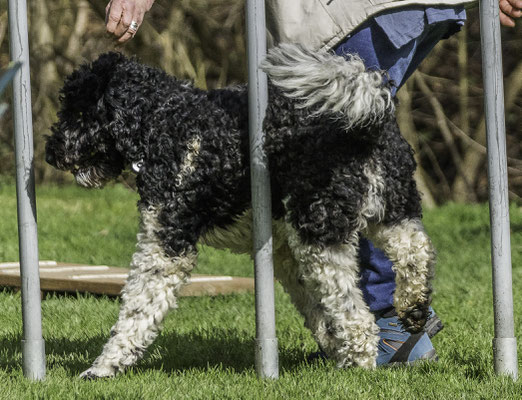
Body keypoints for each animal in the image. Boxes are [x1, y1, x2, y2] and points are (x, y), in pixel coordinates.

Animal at [45, 44, 434, 378]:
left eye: (79, 112)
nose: (51, 152)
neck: (165, 124)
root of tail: (368, 122)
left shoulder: (166, 242)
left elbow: (137, 308)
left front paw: (104, 367)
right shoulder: (284, 251)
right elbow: (317, 312)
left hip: (319, 231)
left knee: (357, 315)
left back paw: (359, 364)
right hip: (390, 209)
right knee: (414, 250)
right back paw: (413, 307)